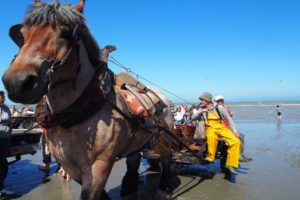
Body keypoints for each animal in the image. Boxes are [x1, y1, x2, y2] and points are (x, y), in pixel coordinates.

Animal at [2, 0, 175, 199]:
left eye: (65, 33)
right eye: (22, 35)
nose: (16, 82)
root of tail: (164, 99)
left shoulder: (99, 166)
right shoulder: (70, 165)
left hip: (163, 137)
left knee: (166, 159)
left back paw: (163, 187)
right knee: (134, 158)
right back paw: (130, 185)